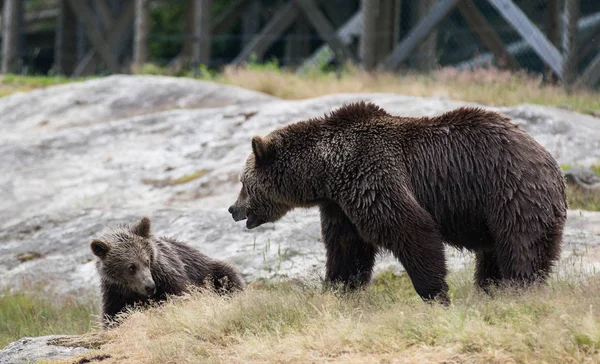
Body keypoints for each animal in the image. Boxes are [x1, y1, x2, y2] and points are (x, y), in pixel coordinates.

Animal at [227, 101, 564, 302]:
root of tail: (550, 160)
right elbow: (346, 251)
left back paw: (519, 290)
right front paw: (337, 290)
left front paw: (436, 294)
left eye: (243, 183)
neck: (327, 172)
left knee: (521, 248)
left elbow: (411, 229)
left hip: (511, 193)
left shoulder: (372, 175)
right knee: (494, 254)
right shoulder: (341, 206)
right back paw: (489, 291)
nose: (232, 209)